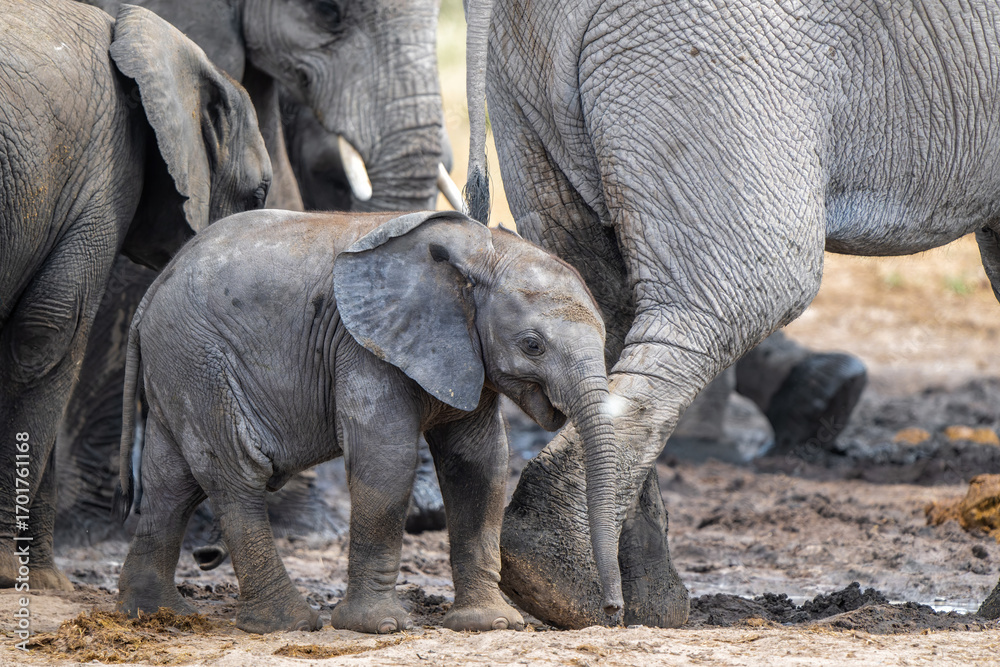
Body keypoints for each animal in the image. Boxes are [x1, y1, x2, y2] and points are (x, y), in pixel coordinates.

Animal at [0, 0, 270, 590]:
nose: (207, 557)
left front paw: (45, 583)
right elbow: (49, 336)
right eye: (260, 193)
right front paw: (11, 572)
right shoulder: (104, 171)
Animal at [113, 209, 624, 633]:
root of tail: (151, 292)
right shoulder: (362, 348)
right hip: (200, 360)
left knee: (171, 484)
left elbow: (480, 466)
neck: (482, 251)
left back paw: (154, 614)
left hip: (178, 366)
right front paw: (380, 626)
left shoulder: (464, 356)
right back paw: (290, 624)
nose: (613, 612)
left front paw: (492, 624)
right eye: (532, 345)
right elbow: (386, 460)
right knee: (236, 474)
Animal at [461, 0, 1000, 627]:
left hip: (527, 84)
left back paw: (633, 602)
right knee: (748, 289)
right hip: (709, 54)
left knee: (595, 294)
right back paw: (570, 586)